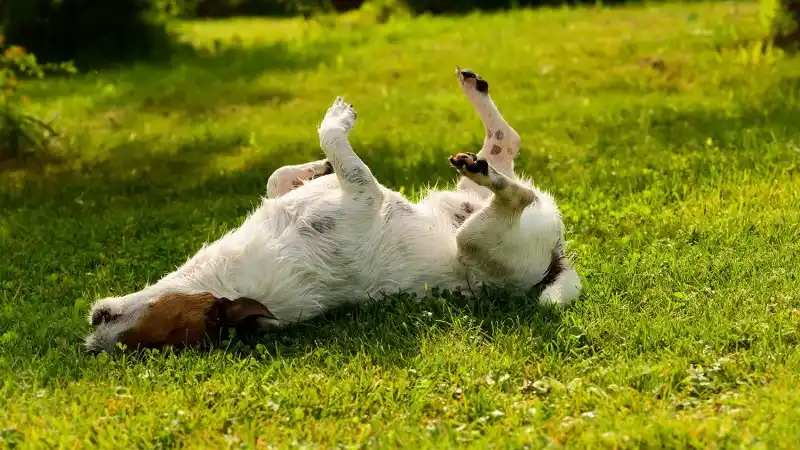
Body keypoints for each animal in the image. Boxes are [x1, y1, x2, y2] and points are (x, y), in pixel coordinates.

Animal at [86, 68, 580, 354]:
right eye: (150, 338)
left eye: (153, 325)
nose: (91, 342)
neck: (234, 277)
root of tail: (557, 256)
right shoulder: (365, 194)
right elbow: (335, 145)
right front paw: (335, 128)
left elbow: (278, 178)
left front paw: (314, 168)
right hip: (477, 238)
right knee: (514, 192)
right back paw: (485, 172)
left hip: (469, 196)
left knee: (506, 141)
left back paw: (474, 92)